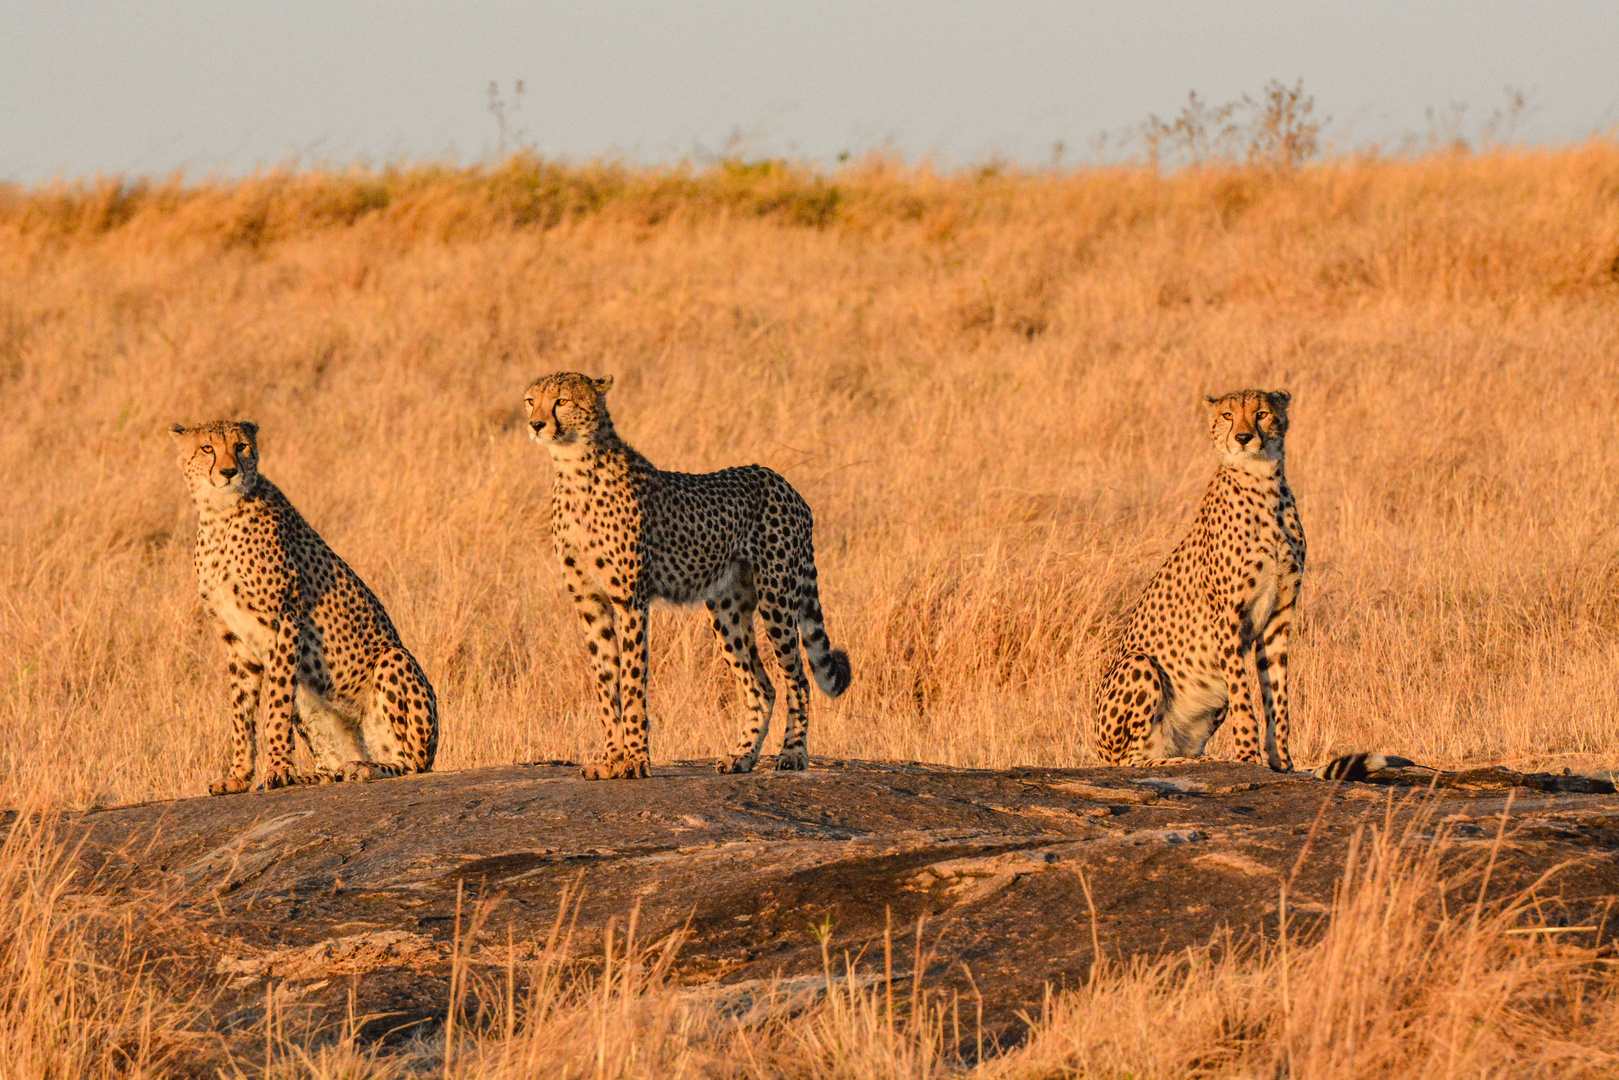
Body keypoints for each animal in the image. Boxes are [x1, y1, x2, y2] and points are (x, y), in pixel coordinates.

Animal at [167, 420, 440, 793]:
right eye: (207, 448)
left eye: (240, 446)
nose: (229, 471)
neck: (218, 513)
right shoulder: (237, 640)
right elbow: (241, 714)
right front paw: (238, 776)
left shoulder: (283, 622)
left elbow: (275, 708)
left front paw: (278, 770)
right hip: (312, 700)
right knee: (333, 761)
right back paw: (318, 774)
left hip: (393, 659)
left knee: (410, 763)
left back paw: (366, 768)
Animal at [521, 372, 854, 777]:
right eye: (531, 400)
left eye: (562, 401)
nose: (536, 424)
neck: (574, 469)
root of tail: (783, 482)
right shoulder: (589, 601)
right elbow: (605, 682)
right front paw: (610, 758)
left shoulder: (631, 599)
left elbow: (632, 680)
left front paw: (635, 759)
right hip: (727, 609)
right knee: (762, 687)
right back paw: (742, 756)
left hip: (776, 596)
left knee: (798, 680)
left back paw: (792, 753)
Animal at [1094, 393, 1308, 773]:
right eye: (1228, 415)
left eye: (1262, 413)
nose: (1243, 437)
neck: (1263, 483)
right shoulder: (1227, 618)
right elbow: (1243, 695)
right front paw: (1247, 756)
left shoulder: (1278, 618)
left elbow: (1277, 695)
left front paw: (1281, 759)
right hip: (1139, 663)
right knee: (1132, 761)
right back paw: (1187, 762)